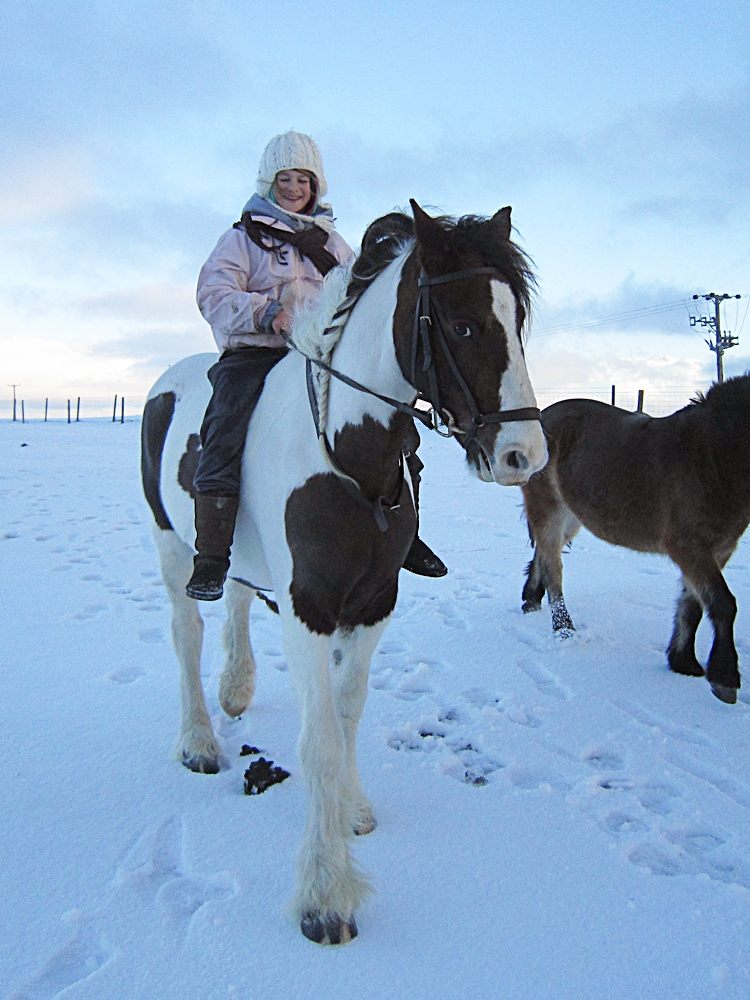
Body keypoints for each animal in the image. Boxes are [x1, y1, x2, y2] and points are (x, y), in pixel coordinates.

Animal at [141, 201, 548, 945]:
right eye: (463, 324)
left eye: (517, 321)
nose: (523, 454)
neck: (349, 453)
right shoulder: (309, 608)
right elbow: (322, 739)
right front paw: (325, 894)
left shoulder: (375, 601)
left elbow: (349, 711)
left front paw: (352, 810)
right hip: (169, 545)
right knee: (187, 631)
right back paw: (199, 740)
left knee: (235, 594)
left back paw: (236, 688)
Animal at [520, 377, 750, 704]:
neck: (711, 457)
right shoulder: (690, 549)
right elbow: (722, 603)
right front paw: (724, 678)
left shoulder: (718, 550)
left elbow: (692, 603)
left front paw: (683, 662)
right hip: (550, 509)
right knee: (554, 567)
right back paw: (564, 629)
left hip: (572, 516)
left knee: (543, 552)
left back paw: (531, 599)